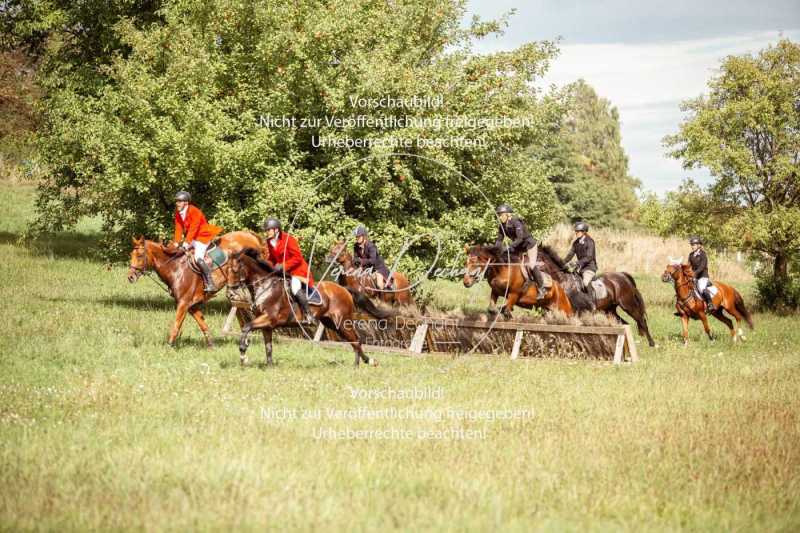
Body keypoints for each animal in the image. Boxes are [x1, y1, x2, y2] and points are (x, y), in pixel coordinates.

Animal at [126, 231, 260, 348]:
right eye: (131, 255)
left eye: (140, 255)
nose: (130, 277)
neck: (175, 268)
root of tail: (250, 235)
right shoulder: (191, 306)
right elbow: (203, 324)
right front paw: (211, 345)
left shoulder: (183, 303)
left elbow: (176, 325)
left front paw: (168, 347)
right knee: (240, 307)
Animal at [227, 248, 396, 366]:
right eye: (226, 270)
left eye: (235, 270)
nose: (230, 292)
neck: (265, 285)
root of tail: (344, 289)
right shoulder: (266, 325)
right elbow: (268, 346)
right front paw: (269, 366)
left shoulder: (269, 318)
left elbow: (246, 327)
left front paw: (243, 354)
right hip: (331, 323)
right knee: (354, 341)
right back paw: (361, 362)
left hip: (341, 322)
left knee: (356, 340)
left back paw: (361, 364)